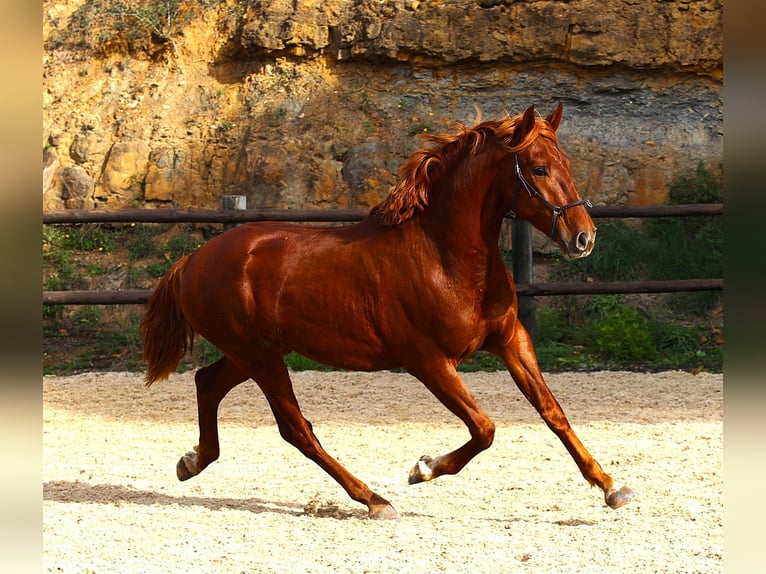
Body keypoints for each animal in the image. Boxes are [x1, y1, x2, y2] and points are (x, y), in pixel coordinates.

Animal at [142, 104, 636, 520]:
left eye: (566, 164)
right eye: (538, 168)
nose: (584, 238)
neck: (445, 257)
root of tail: (193, 261)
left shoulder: (511, 339)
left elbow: (553, 412)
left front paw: (612, 487)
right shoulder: (428, 361)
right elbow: (484, 428)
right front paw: (424, 467)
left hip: (253, 354)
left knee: (208, 382)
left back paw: (191, 462)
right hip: (261, 358)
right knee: (297, 429)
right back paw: (375, 500)